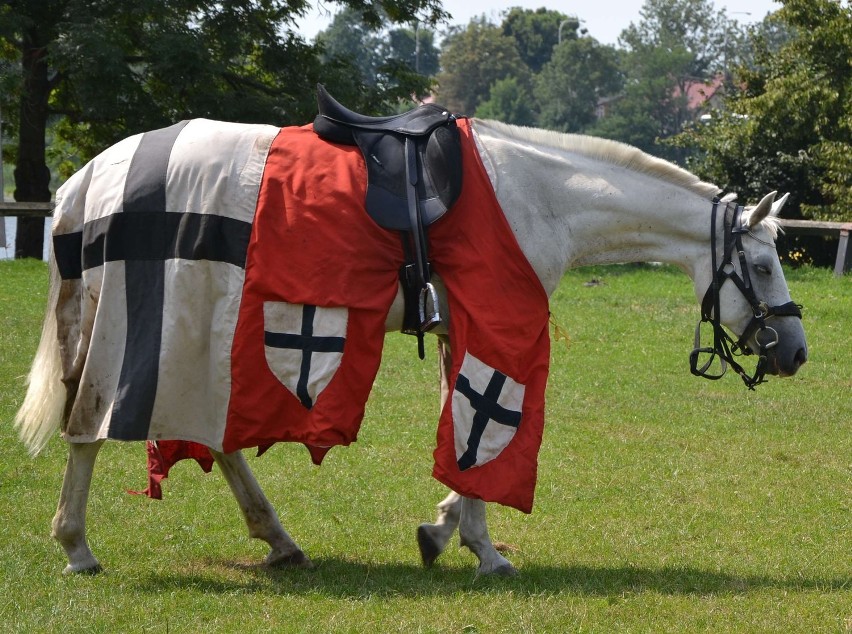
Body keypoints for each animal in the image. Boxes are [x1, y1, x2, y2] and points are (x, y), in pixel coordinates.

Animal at [16, 117, 808, 572]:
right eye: (766, 265)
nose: (795, 352)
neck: (543, 195)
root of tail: (90, 178)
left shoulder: (463, 331)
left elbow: (463, 429)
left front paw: (447, 529)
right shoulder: (494, 332)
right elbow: (477, 432)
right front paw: (479, 547)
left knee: (212, 437)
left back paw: (277, 539)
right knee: (89, 426)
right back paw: (76, 545)